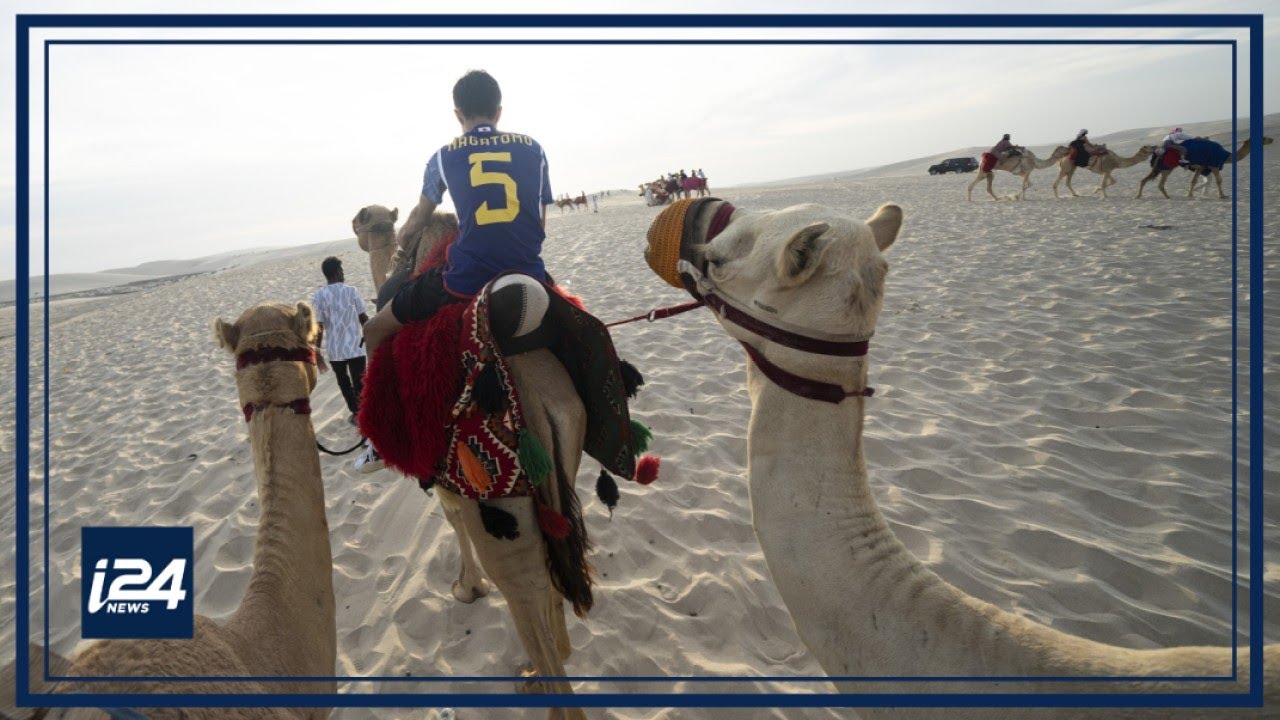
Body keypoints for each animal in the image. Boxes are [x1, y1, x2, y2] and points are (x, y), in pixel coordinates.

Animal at [1137, 137, 1272, 199]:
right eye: (1263, 138)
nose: (1271, 139)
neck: (1225, 156)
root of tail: (1159, 151)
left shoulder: (1201, 167)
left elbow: (1195, 180)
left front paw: (1190, 194)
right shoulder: (1213, 164)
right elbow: (1218, 180)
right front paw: (1222, 196)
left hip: (1163, 167)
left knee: (1148, 180)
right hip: (1166, 166)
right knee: (1157, 182)